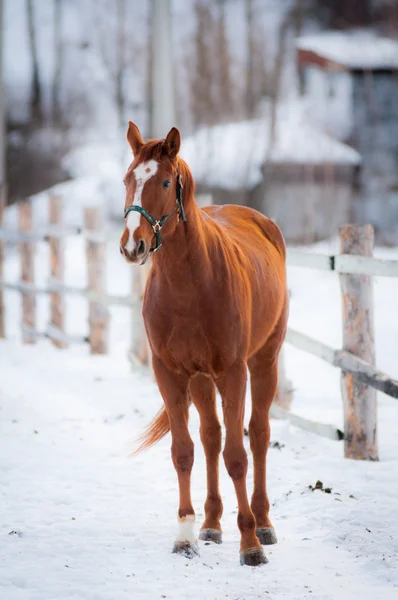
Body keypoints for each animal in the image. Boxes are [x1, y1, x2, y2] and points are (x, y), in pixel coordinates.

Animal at [119, 122, 288, 568]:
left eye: (164, 181)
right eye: (128, 180)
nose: (132, 245)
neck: (189, 286)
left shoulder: (234, 372)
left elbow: (237, 456)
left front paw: (250, 545)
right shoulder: (171, 373)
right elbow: (184, 451)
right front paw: (185, 536)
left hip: (264, 363)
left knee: (258, 435)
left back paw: (263, 523)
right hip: (200, 380)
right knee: (211, 437)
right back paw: (211, 525)